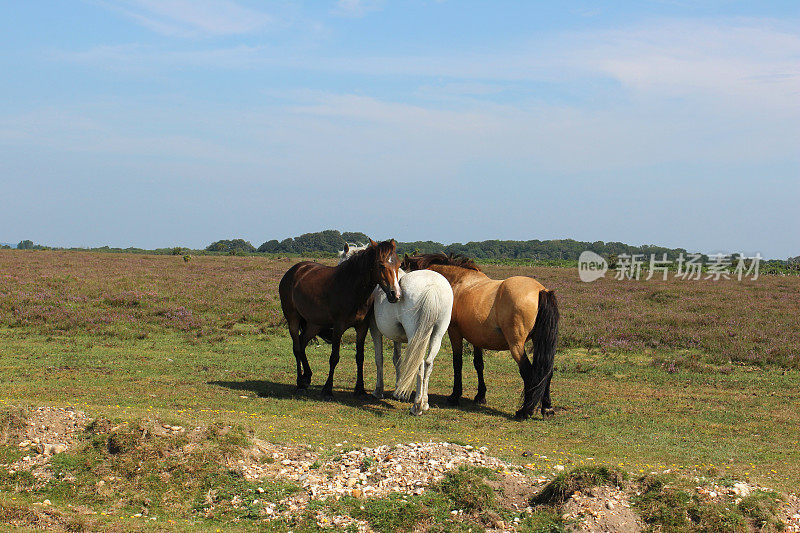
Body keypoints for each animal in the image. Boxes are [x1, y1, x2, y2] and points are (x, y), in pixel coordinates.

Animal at [280, 239, 404, 396]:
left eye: (398, 264)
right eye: (381, 264)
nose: (396, 294)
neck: (352, 289)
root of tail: (295, 270)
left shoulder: (362, 327)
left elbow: (360, 357)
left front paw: (360, 388)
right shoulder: (338, 327)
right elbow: (334, 357)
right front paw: (327, 389)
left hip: (314, 324)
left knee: (302, 343)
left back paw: (306, 377)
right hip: (293, 319)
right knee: (296, 348)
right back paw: (300, 383)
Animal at [338, 243, 454, 414]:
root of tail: (432, 287)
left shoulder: (375, 330)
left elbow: (379, 358)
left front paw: (379, 391)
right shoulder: (397, 336)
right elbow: (397, 359)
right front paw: (399, 390)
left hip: (416, 337)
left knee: (419, 364)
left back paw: (417, 406)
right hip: (437, 334)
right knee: (428, 363)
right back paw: (425, 403)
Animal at [404, 251, 560, 418]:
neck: (457, 281)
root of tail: (540, 291)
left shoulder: (454, 333)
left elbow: (457, 363)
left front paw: (455, 396)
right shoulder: (477, 338)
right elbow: (479, 364)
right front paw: (480, 396)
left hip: (516, 346)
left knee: (529, 372)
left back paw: (525, 411)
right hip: (539, 342)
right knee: (546, 372)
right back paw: (547, 408)